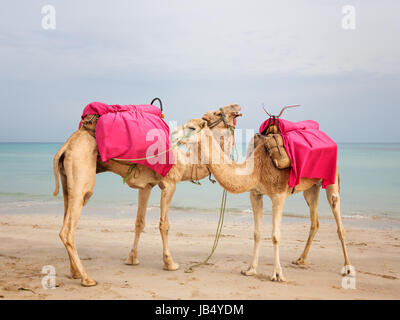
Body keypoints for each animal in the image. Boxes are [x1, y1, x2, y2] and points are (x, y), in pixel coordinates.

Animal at [52, 104, 241, 286]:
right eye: (217, 113)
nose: (237, 108)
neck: (186, 160)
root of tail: (65, 146)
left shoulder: (146, 186)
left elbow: (139, 222)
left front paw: (132, 259)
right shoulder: (169, 183)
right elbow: (164, 225)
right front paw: (170, 263)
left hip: (67, 180)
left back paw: (75, 273)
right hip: (82, 174)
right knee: (67, 230)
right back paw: (87, 279)